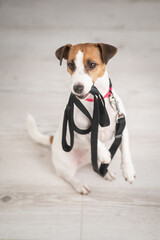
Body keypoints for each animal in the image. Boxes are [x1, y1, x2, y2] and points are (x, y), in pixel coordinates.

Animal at [27, 42, 135, 194]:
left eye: (92, 64)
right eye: (71, 65)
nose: (77, 88)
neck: (95, 100)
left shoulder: (122, 128)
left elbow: (125, 150)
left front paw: (128, 170)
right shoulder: (78, 131)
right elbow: (92, 137)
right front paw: (104, 152)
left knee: (95, 165)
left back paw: (105, 172)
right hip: (66, 165)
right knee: (67, 177)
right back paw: (79, 184)